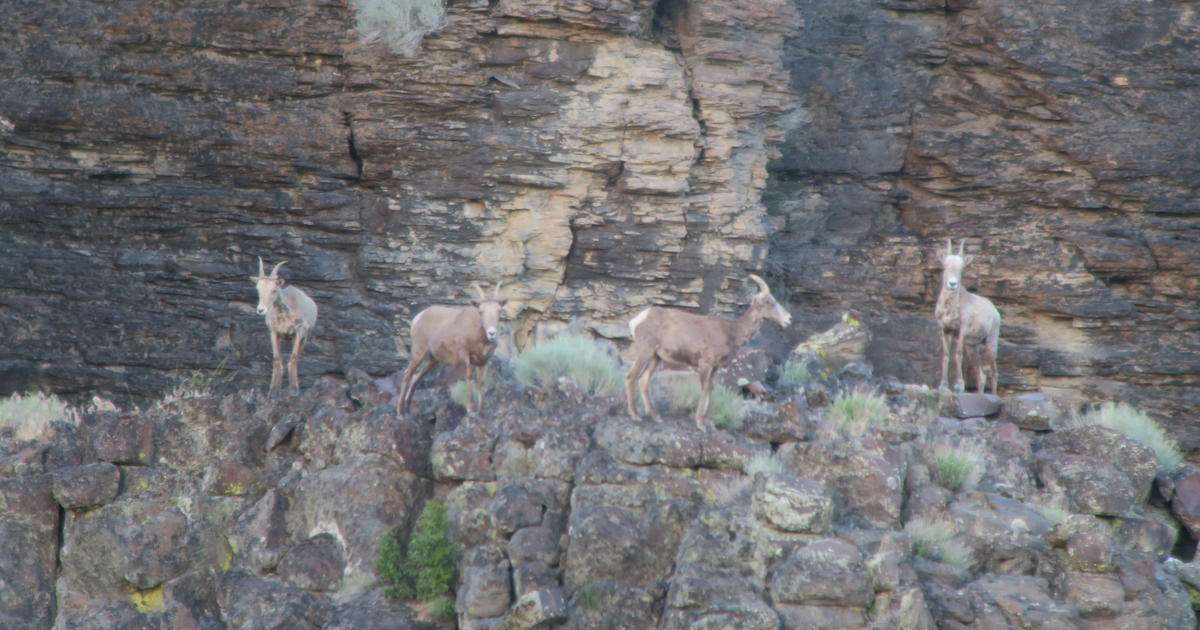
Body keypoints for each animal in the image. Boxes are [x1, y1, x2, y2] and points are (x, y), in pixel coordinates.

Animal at [251, 257, 318, 394]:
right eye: (258, 289)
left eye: (274, 289)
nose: (261, 310)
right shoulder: (274, 332)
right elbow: (277, 360)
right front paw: (273, 391)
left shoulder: (299, 332)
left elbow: (293, 359)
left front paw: (294, 391)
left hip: (304, 338)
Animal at [396, 282, 506, 416]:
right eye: (481, 311)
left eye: (499, 310)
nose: (491, 333)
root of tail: (418, 317)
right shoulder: (466, 357)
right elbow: (469, 378)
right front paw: (470, 410)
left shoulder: (483, 362)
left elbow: (481, 383)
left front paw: (482, 411)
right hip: (419, 351)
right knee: (408, 374)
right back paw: (400, 412)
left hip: (433, 360)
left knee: (416, 378)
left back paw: (408, 410)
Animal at [625, 273, 792, 427]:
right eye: (769, 302)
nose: (789, 319)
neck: (731, 332)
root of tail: (638, 319)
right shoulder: (705, 365)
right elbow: (704, 389)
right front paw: (700, 422)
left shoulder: (715, 368)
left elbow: (710, 389)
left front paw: (706, 420)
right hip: (645, 353)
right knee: (631, 377)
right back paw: (635, 415)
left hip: (656, 358)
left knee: (643, 381)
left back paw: (656, 417)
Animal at [935, 239, 1001, 395]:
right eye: (945, 266)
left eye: (961, 268)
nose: (952, 284)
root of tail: (995, 311)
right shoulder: (945, 330)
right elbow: (946, 355)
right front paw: (943, 386)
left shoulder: (961, 330)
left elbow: (958, 354)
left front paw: (959, 386)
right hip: (972, 347)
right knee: (981, 376)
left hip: (990, 343)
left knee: (994, 372)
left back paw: (994, 396)